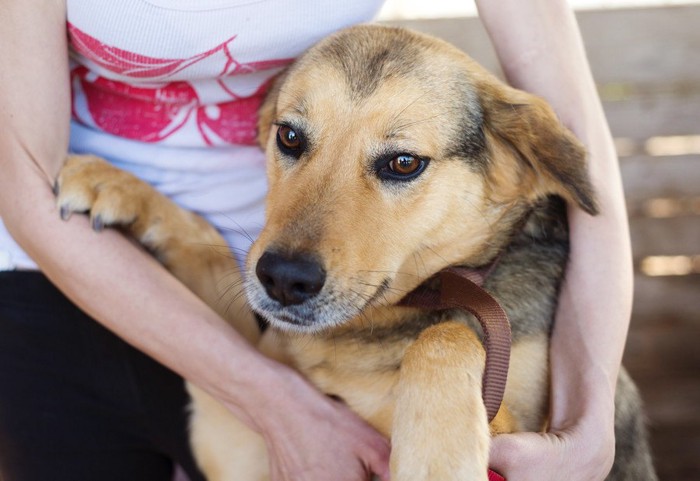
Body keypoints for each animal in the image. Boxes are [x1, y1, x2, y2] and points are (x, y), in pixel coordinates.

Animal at [56, 25, 656, 480]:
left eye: (403, 163)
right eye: (290, 137)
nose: (283, 279)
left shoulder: (519, 437)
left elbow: (446, 336)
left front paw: (435, 457)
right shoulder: (234, 435)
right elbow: (205, 247)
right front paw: (118, 185)